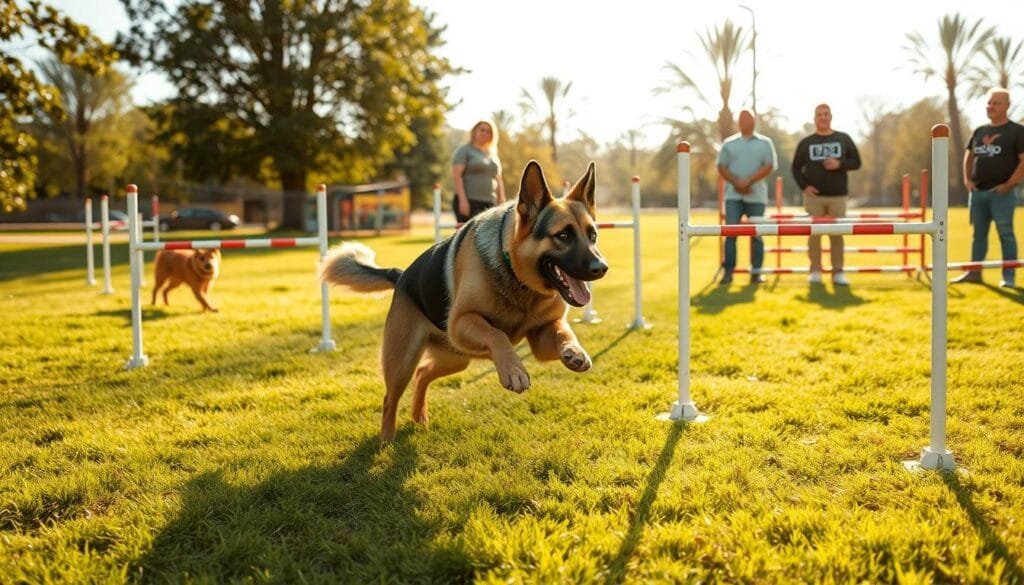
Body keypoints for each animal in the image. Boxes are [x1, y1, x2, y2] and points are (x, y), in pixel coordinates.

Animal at [319, 159, 606, 438]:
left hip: (456, 359)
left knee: (423, 373)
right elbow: (497, 334)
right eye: (563, 235)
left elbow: (564, 332)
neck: (515, 276)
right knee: (390, 399)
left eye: (592, 235)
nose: (601, 268)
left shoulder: (542, 335)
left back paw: (419, 415)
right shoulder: (462, 322)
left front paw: (574, 351)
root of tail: (401, 276)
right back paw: (386, 440)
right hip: (403, 363)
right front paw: (513, 370)